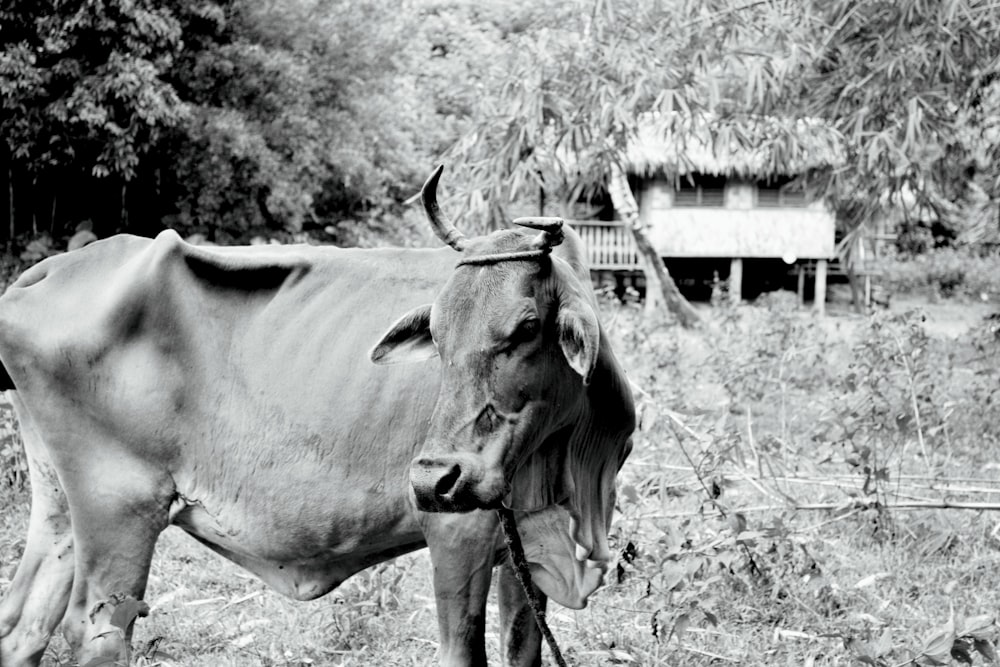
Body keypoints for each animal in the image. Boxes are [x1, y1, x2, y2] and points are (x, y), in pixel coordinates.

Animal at [0, 167, 636, 667]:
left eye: (528, 327)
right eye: (436, 331)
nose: (435, 479)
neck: (569, 465)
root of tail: (51, 270)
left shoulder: (523, 547)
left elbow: (522, 649)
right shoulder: (460, 534)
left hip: (61, 504)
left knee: (23, 625)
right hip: (120, 507)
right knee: (97, 632)